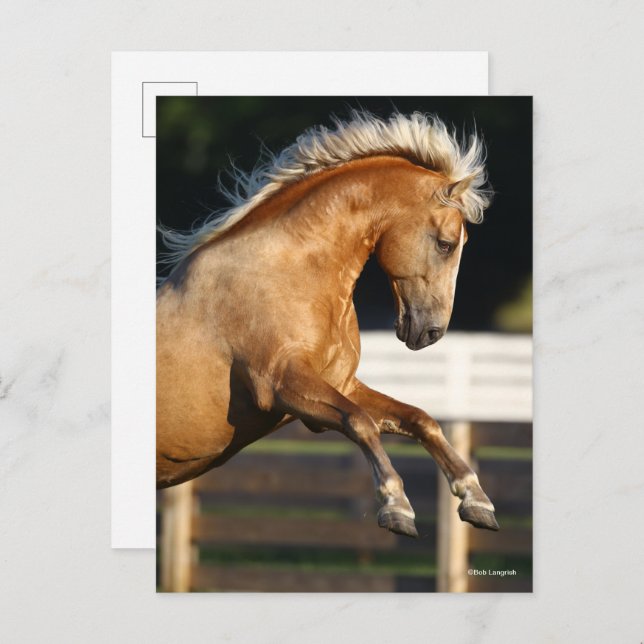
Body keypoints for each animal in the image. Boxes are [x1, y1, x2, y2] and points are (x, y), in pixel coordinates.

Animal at [156, 110, 498, 538]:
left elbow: (420, 420)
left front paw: (477, 500)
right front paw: (396, 506)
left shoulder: (340, 384)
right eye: (446, 244)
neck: (287, 273)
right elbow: (361, 422)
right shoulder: (281, 384)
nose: (432, 332)